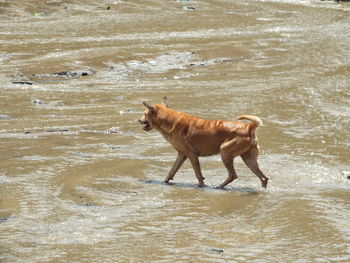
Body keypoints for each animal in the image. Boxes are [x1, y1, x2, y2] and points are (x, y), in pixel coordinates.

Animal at [138, 97, 270, 190]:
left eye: (144, 114)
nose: (138, 120)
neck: (168, 121)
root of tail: (249, 127)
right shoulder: (182, 154)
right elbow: (172, 170)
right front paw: (164, 182)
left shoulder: (191, 155)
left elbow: (198, 174)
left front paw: (202, 186)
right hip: (249, 158)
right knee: (264, 178)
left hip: (225, 152)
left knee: (233, 175)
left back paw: (219, 187)